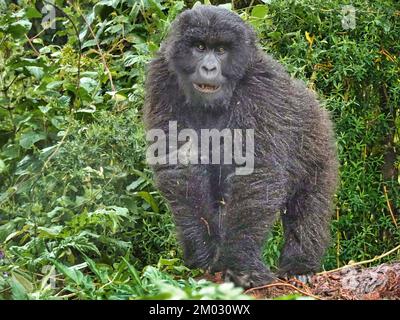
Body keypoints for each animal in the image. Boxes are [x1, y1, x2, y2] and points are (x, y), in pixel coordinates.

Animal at [144, 3, 338, 288]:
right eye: (200, 47)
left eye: (221, 50)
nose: (209, 68)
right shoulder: (162, 76)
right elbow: (179, 162)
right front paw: (203, 250)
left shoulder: (262, 88)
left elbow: (255, 173)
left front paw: (240, 264)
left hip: (319, 142)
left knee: (309, 204)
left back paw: (300, 264)